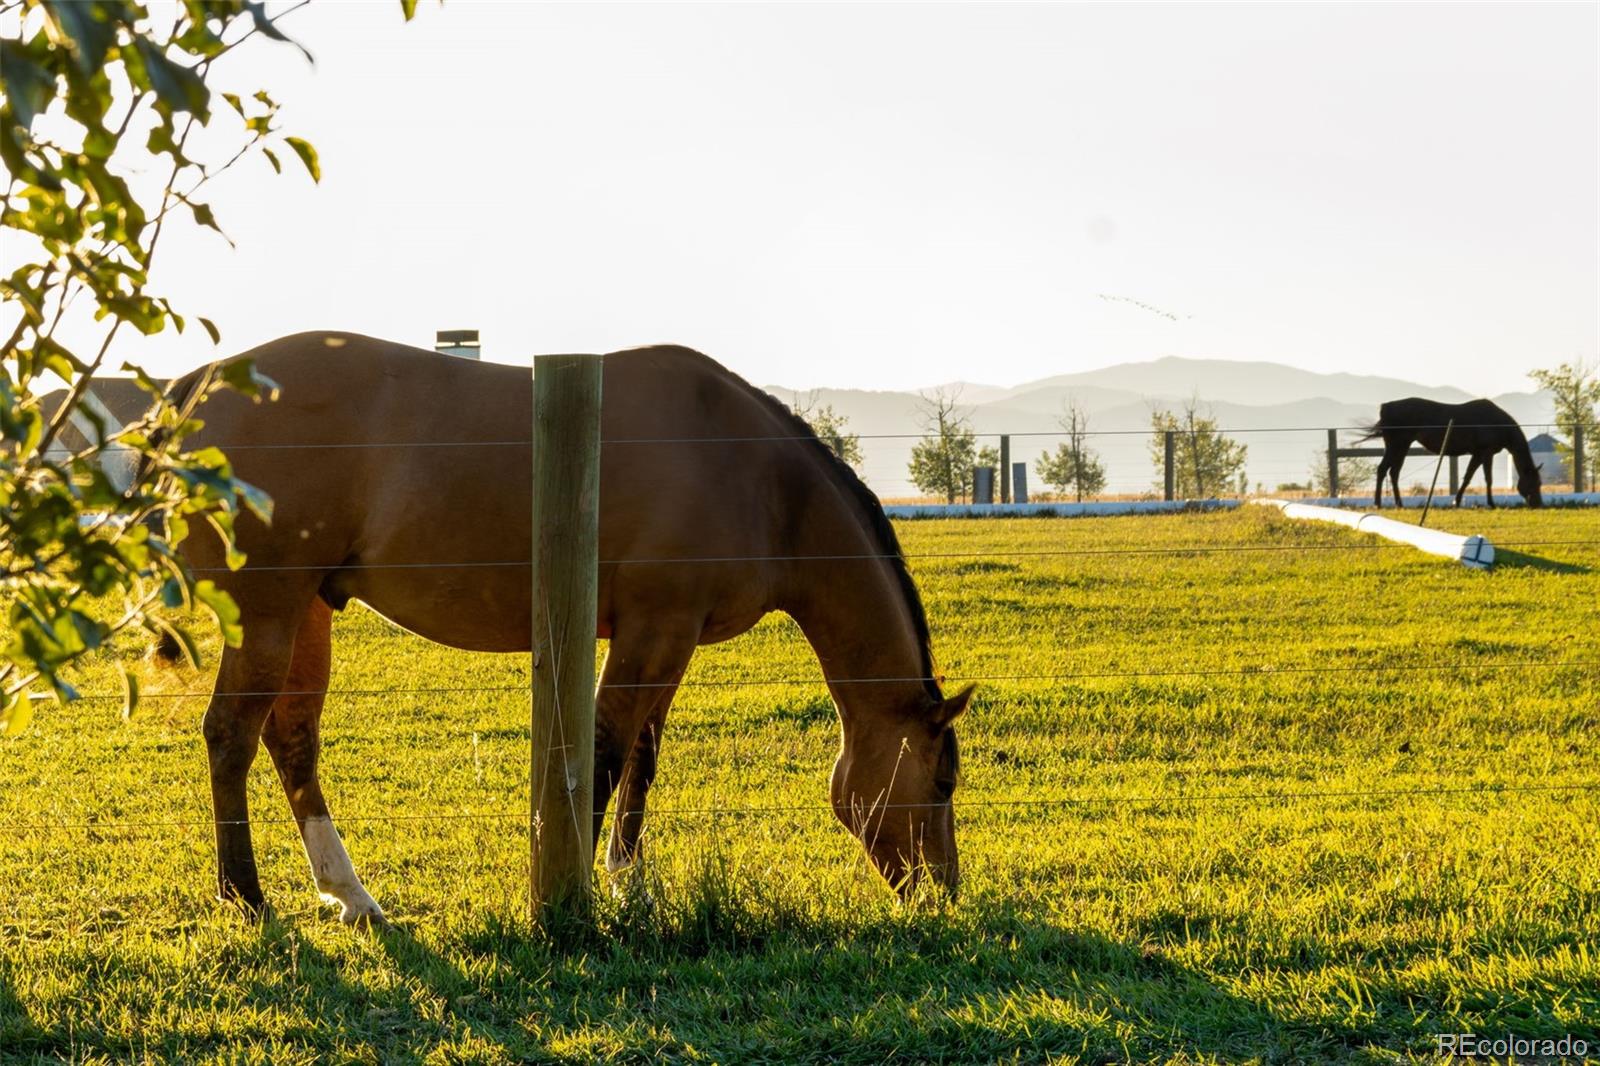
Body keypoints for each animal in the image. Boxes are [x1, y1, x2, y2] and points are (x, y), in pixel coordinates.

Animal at [162, 334, 966, 921]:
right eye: (942, 778)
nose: (943, 892)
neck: (757, 477)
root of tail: (197, 386)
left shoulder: (667, 637)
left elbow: (643, 758)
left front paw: (628, 882)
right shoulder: (653, 631)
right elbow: (605, 753)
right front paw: (578, 883)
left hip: (304, 612)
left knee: (291, 738)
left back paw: (350, 894)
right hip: (267, 613)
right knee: (231, 737)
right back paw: (246, 898)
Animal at [1356, 396, 1542, 508]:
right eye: (1535, 483)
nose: (1538, 503)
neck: (1497, 423)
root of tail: (1385, 407)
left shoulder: (1477, 454)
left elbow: (1467, 478)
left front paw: (1456, 501)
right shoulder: (1486, 452)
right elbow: (1488, 479)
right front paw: (1491, 503)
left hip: (1400, 447)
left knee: (1392, 472)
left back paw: (1397, 503)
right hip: (1397, 446)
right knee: (1384, 470)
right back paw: (1378, 503)